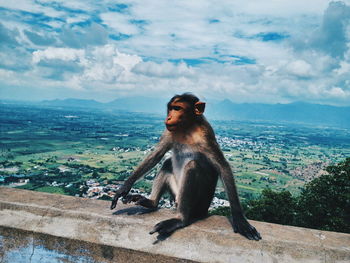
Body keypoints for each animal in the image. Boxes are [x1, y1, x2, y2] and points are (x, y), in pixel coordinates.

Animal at [110, 94, 262, 242]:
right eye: (170, 108)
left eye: (177, 108)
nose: (169, 117)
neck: (187, 129)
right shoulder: (169, 132)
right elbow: (157, 155)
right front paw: (124, 187)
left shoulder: (206, 136)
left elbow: (222, 166)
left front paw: (240, 220)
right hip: (175, 191)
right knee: (167, 163)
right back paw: (152, 202)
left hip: (199, 204)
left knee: (192, 166)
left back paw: (180, 219)